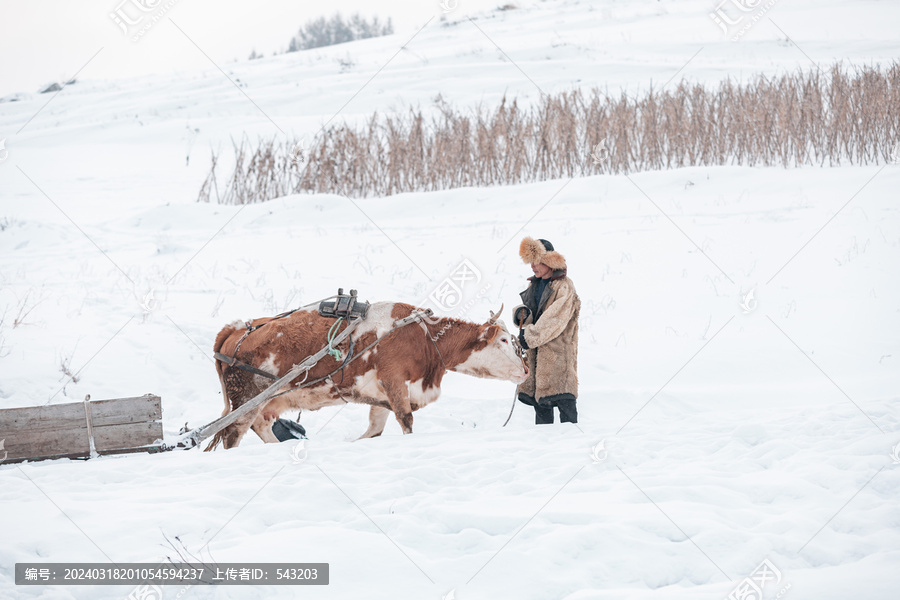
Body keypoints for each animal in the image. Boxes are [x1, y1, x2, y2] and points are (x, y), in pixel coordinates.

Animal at [204, 302, 528, 448]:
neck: (423, 335)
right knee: (233, 434)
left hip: (266, 403)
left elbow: (374, 429)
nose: (526, 370)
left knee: (260, 427)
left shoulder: (381, 394)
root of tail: (236, 327)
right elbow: (406, 422)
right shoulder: (394, 382)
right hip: (247, 398)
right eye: (503, 340)